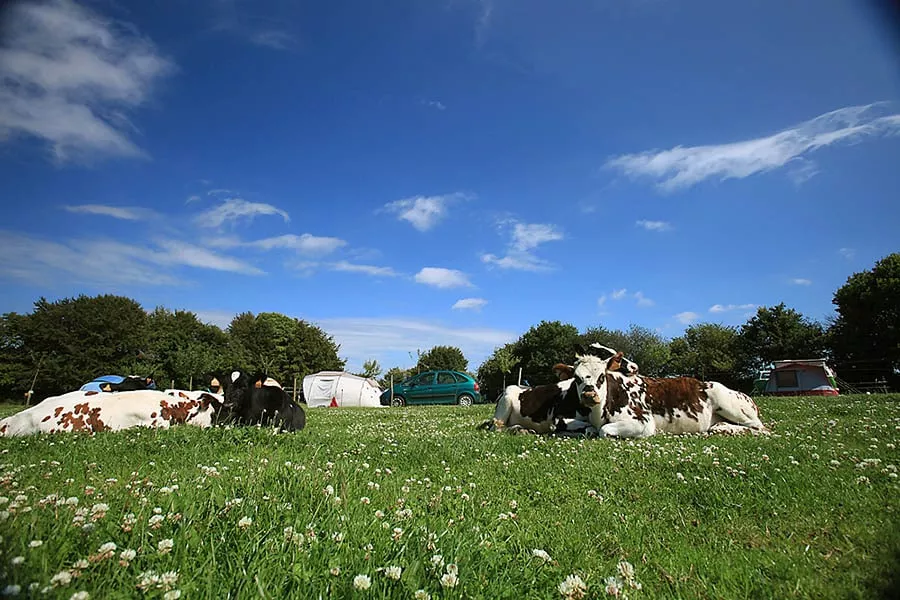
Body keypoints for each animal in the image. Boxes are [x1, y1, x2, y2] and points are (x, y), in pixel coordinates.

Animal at [572, 344, 768, 438]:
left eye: (601, 376)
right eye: (577, 377)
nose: (589, 395)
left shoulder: (643, 422)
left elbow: (604, 430)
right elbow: (590, 429)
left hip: (729, 404)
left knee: (760, 428)